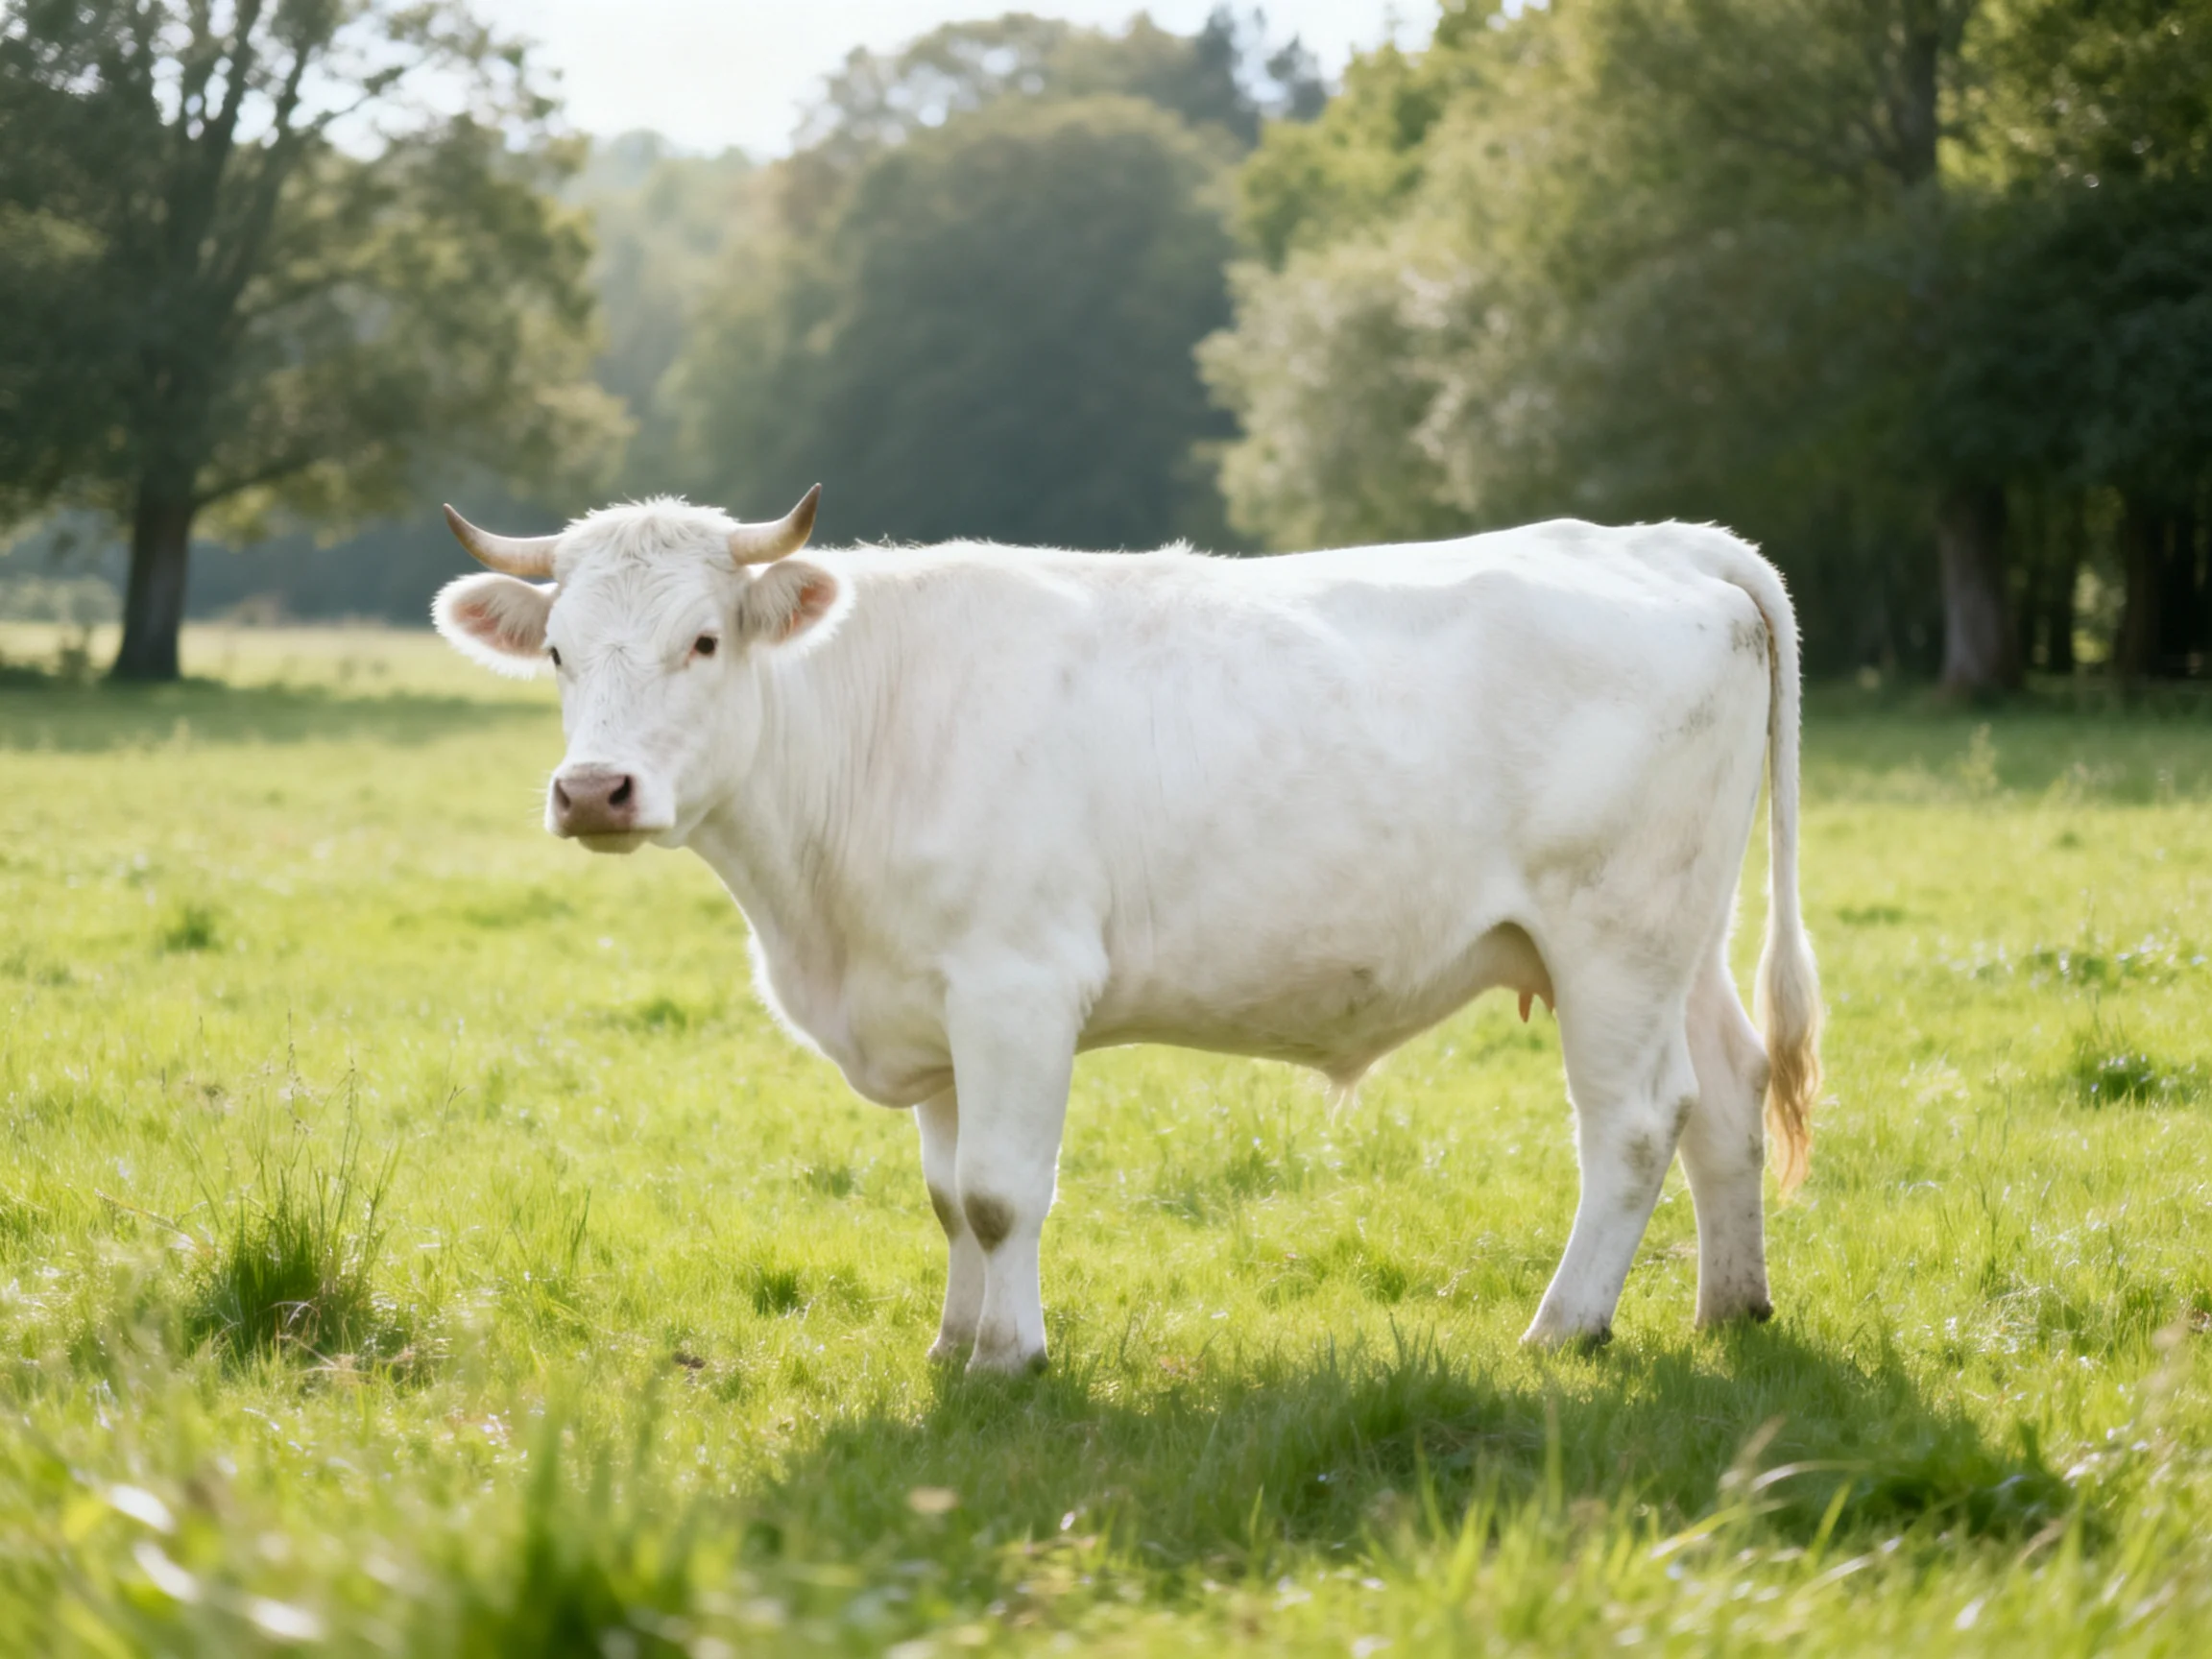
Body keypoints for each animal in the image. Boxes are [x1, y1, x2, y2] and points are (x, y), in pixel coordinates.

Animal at [431, 489, 1821, 1373]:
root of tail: (1663, 541)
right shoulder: (934, 1005)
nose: (593, 791)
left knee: (1635, 1122)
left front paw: (1009, 1358)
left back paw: (1564, 1328)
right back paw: (1730, 1308)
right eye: (556, 653)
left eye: (706, 639)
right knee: (1728, 1092)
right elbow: (947, 1197)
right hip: (1682, 935)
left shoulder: (1018, 985)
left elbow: (1001, 1193)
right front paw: (950, 1342)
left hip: (1612, 936)